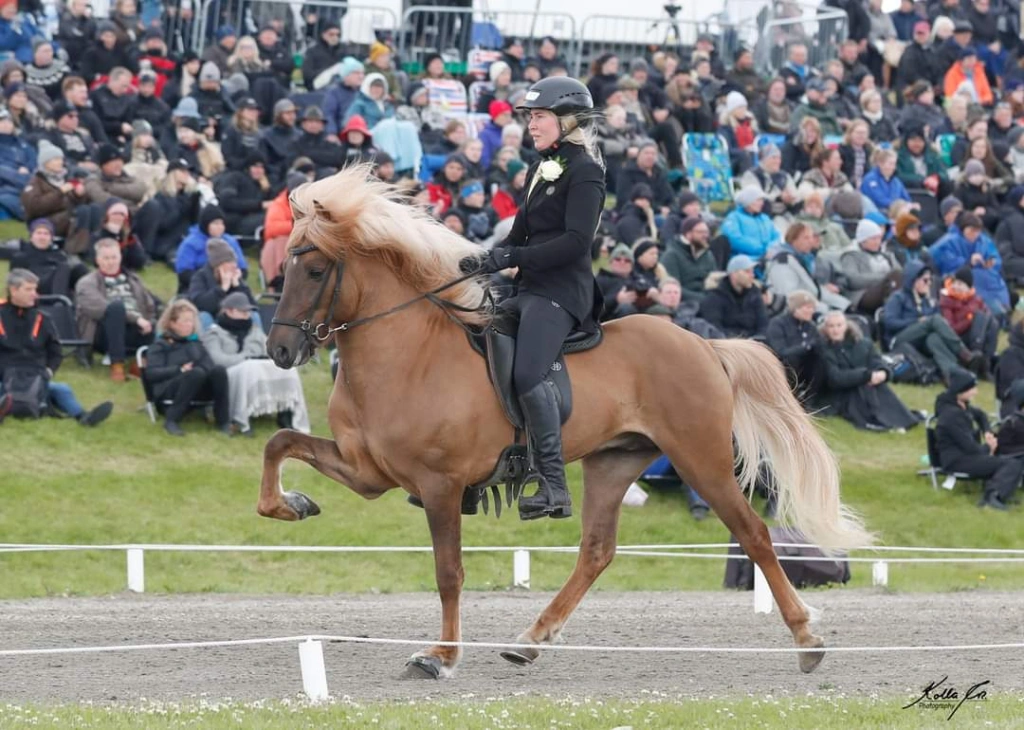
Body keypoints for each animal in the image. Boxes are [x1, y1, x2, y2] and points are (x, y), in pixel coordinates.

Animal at [258, 165, 873, 679]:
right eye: (284, 267)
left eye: (315, 269)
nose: (281, 351)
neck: (407, 354)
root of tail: (702, 343)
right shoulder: (369, 472)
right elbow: (279, 441)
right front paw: (292, 505)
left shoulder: (440, 485)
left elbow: (448, 573)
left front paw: (439, 658)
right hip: (614, 461)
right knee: (597, 551)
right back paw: (529, 641)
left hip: (704, 461)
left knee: (754, 535)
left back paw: (808, 641)